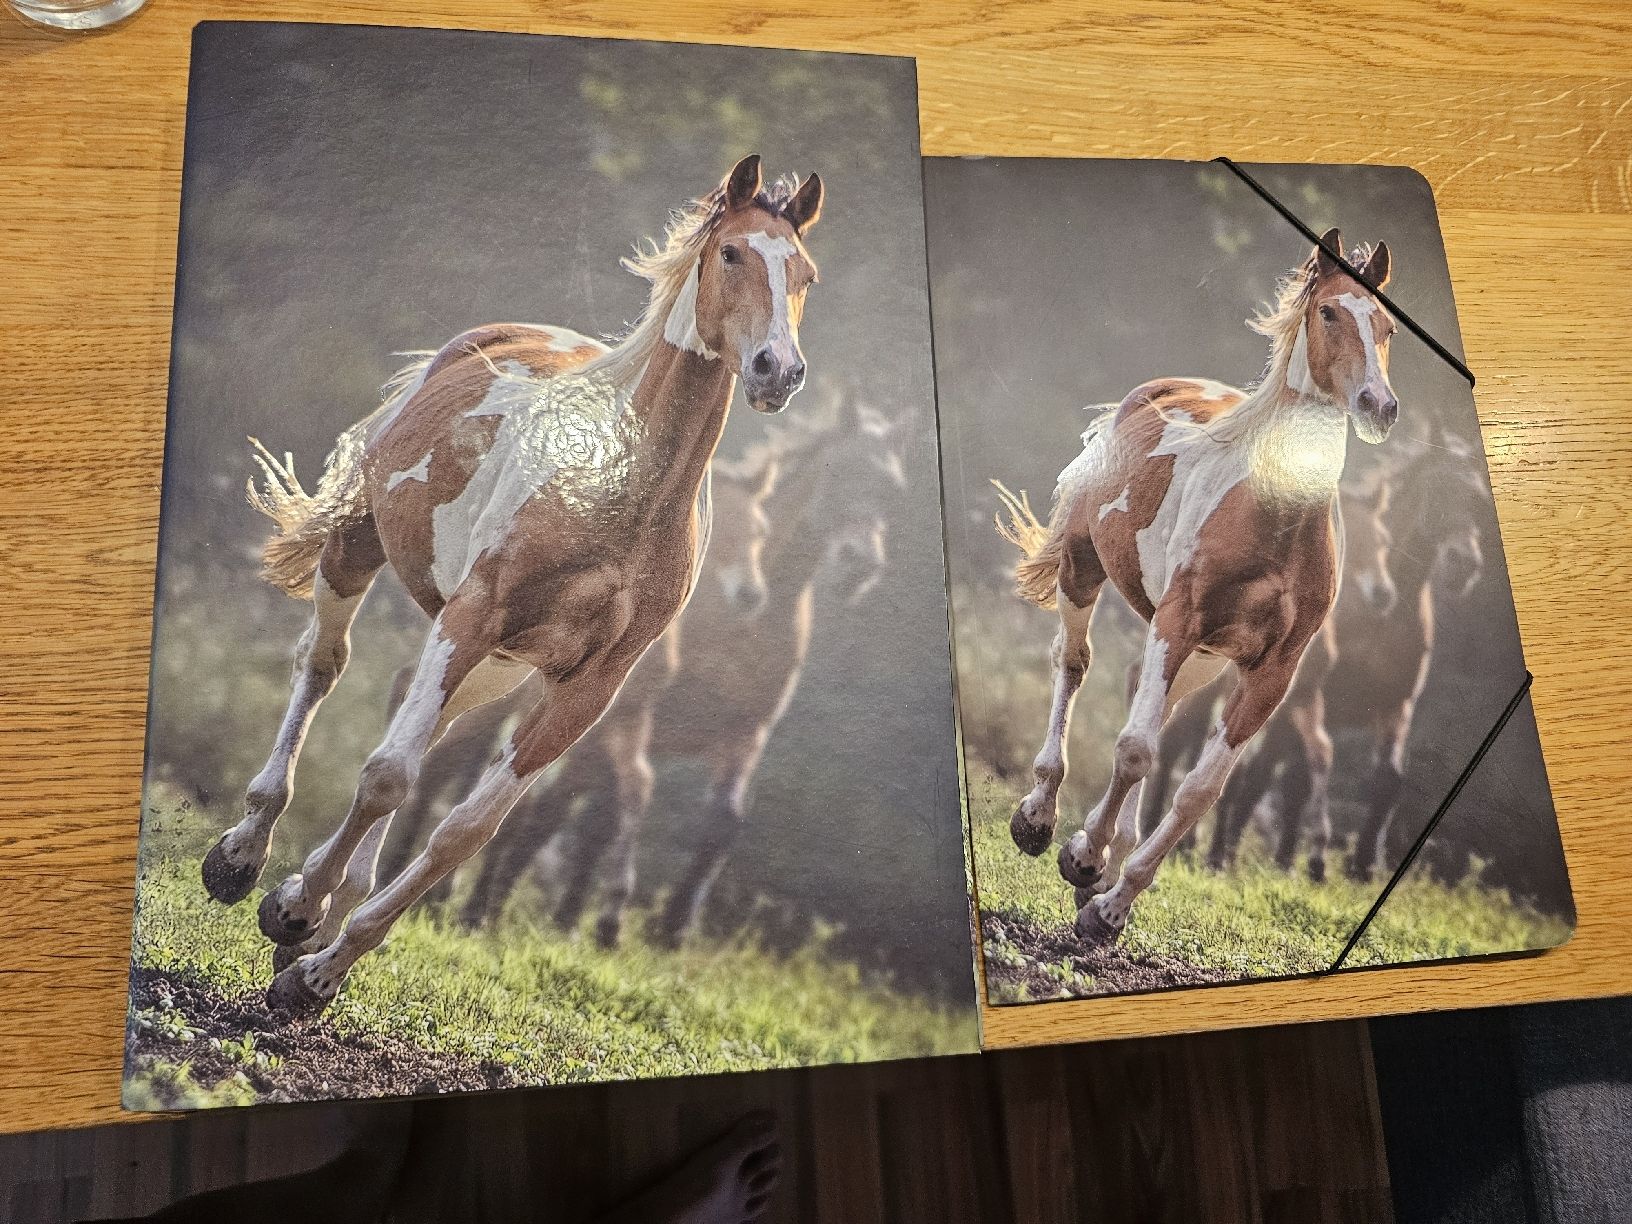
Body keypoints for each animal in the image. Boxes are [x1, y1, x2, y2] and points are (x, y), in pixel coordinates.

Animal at [199, 154, 826, 1014]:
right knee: (323, 669)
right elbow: (388, 777)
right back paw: (242, 859)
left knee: (421, 734)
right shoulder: (473, 615)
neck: (621, 491)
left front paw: (317, 968)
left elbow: (464, 830)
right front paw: (290, 908)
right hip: (363, 549)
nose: (778, 371)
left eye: (804, 273)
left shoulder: (588, 687)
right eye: (731, 253)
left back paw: (317, 908)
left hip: (496, 667)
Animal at [461, 390, 907, 948]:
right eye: (843, 471)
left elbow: (723, 820)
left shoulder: (746, 730)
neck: (751, 622)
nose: (860, 564)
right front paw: (619, 916)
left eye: (893, 489)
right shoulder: (631, 723)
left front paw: (673, 927)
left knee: (561, 809)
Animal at [996, 230, 1399, 944]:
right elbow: (1135, 751)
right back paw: (1041, 820)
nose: (1379, 405)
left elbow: (1198, 791)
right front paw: (1080, 860)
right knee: (1074, 664)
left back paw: (1097, 854)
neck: (1274, 517)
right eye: (1328, 312)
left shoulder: (1271, 670)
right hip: (1085, 568)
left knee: (1146, 701)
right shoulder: (1177, 620)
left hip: (1204, 657)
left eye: (1386, 326)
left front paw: (1108, 903)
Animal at [1200, 434, 1488, 881]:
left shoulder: (1396, 703)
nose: (1464, 564)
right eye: (1439, 487)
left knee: (1260, 774)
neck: (1383, 618)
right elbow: (1299, 777)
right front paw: (1303, 858)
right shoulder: (1309, 701)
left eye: (1478, 498)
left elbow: (1388, 779)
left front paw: (1364, 864)